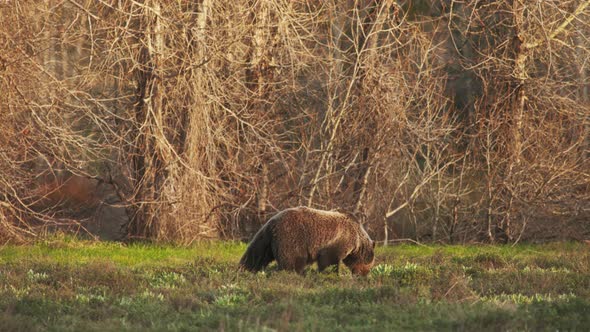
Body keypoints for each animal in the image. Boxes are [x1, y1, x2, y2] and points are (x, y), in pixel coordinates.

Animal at [239, 208, 374, 274]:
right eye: (370, 265)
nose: (363, 275)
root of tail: (272, 223)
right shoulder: (339, 239)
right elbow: (329, 260)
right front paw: (330, 273)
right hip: (292, 237)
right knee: (293, 260)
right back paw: (293, 273)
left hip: (266, 240)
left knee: (257, 254)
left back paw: (245, 269)